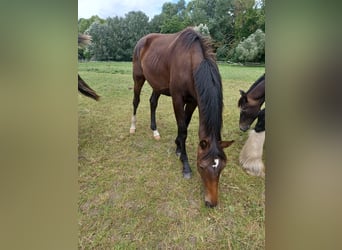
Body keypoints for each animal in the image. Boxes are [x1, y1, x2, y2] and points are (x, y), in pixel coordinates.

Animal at [130, 27, 234, 207]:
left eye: (222, 167)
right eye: (201, 166)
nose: (211, 202)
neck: (190, 61)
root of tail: (142, 40)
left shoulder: (193, 101)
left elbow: (185, 123)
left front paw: (178, 147)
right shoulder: (177, 99)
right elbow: (183, 128)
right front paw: (185, 164)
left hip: (156, 84)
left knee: (152, 102)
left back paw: (155, 131)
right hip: (138, 78)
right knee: (136, 101)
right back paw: (133, 127)